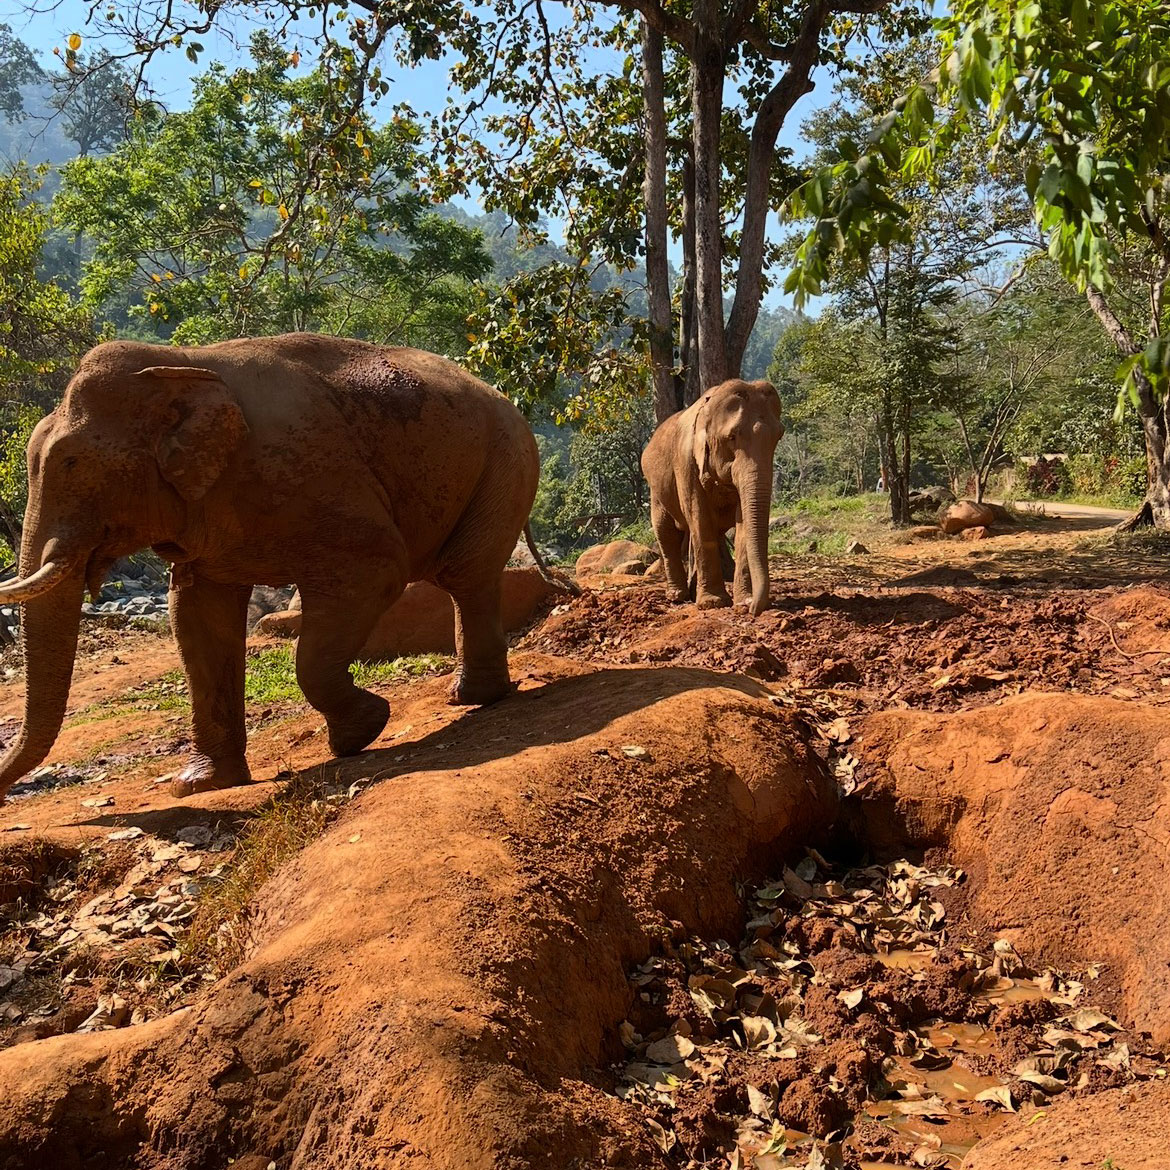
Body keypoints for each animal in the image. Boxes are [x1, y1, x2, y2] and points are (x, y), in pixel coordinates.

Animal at [0, 333, 539, 800]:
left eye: (70, 464)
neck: (182, 362)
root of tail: (502, 395)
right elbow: (197, 616)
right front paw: (200, 784)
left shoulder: (311, 474)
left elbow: (377, 567)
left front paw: (362, 730)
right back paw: (470, 696)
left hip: (506, 459)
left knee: (465, 572)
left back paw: (475, 698)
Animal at [641, 378, 783, 616]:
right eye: (732, 437)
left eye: (777, 438)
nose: (754, 609)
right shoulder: (686, 463)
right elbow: (700, 519)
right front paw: (713, 603)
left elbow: (742, 523)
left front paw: (741, 602)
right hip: (657, 490)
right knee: (667, 533)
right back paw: (678, 596)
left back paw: (691, 590)